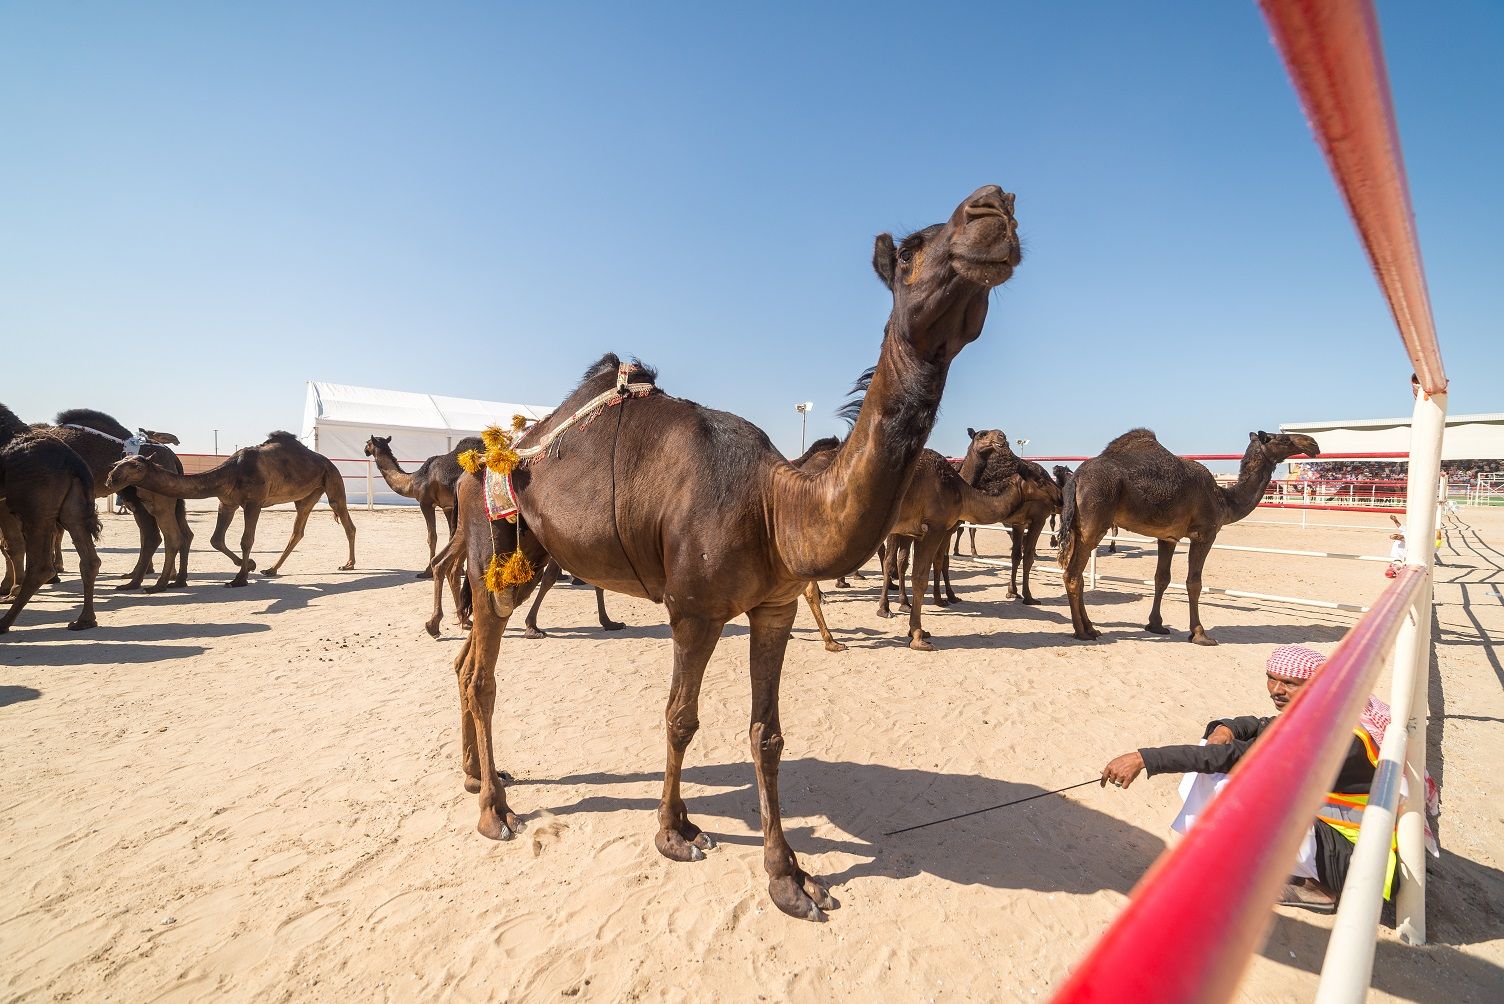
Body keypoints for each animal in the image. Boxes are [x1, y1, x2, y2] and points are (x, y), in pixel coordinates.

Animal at [106, 432, 357, 589]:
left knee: (347, 522)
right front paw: (251, 565)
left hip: (333, 480)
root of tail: (327, 460)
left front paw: (240, 578)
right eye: (117, 463)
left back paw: (349, 564)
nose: (111, 478)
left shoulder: (254, 502)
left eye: (135, 466)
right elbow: (216, 539)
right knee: (298, 531)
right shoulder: (226, 502)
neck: (231, 471)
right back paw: (271, 569)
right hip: (307, 496)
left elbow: (246, 540)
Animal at [363, 432, 481, 580]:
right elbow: (451, 534)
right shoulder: (448, 507)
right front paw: (460, 570)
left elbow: (432, 537)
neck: (413, 480)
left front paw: (427, 571)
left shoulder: (426, 503)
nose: (365, 450)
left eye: (368, 442)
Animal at [445, 184, 1022, 919]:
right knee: (483, 675)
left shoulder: (775, 607)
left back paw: (474, 778)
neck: (776, 506)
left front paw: (789, 877)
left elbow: (766, 734)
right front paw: (676, 830)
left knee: (465, 663)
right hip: (495, 548)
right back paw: (496, 809)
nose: (993, 205)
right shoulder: (693, 609)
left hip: (528, 556)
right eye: (911, 250)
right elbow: (680, 718)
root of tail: (477, 461)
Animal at [1058, 426, 1317, 646]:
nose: (1312, 443)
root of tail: (1075, 479)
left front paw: (1156, 625)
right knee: (1073, 574)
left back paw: (1091, 628)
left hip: (1077, 528)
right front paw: (1200, 634)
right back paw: (1082, 632)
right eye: (1282, 438)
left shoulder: (1167, 537)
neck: (1223, 499)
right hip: (1093, 523)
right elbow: (1194, 583)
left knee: (1077, 574)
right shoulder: (1204, 533)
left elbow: (1161, 578)